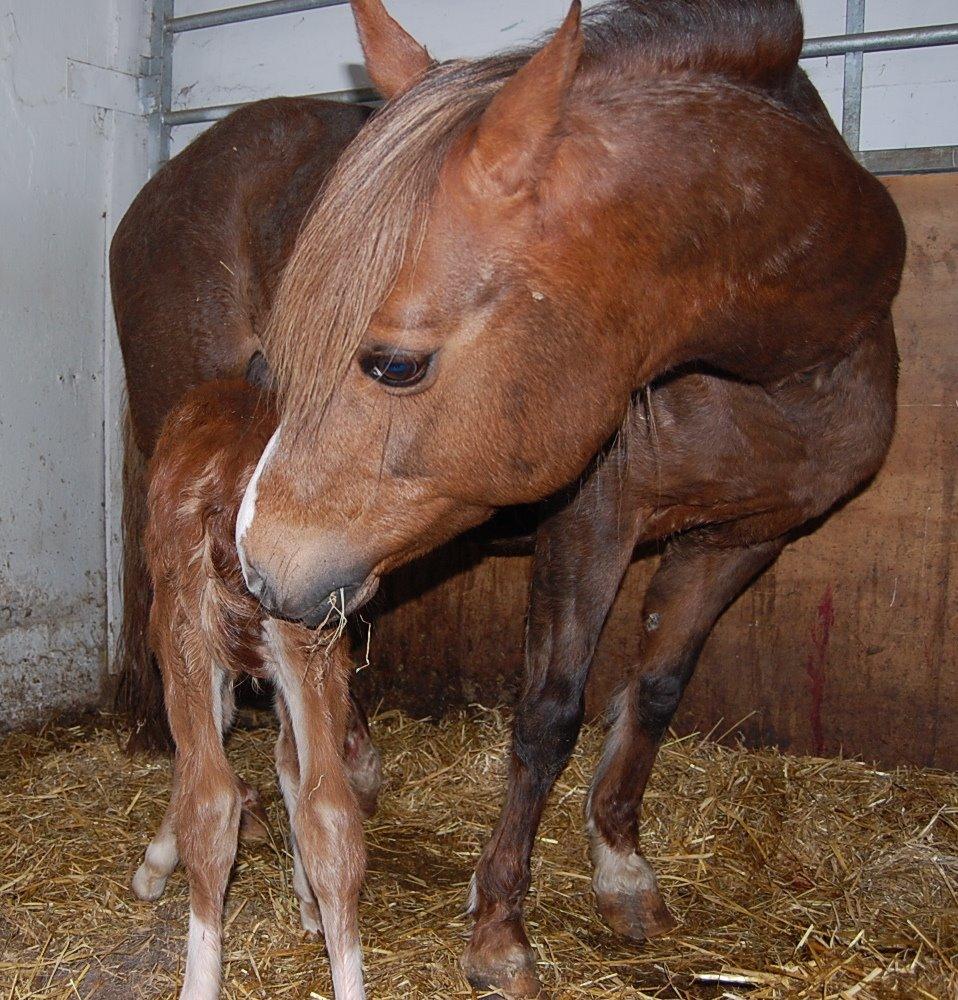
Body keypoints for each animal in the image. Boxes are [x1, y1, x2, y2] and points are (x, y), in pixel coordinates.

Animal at [132, 370, 378, 1000]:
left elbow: (211, 736)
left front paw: (154, 865)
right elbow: (291, 766)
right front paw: (308, 901)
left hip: (182, 621)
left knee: (211, 799)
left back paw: (198, 978)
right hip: (315, 641)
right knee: (330, 812)